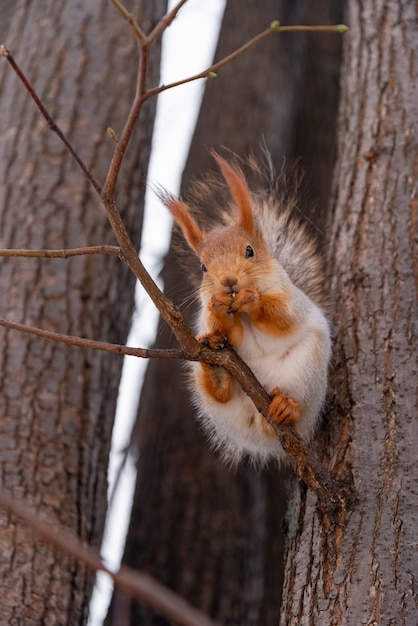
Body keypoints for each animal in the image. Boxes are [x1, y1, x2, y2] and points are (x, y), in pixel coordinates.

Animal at [158, 151, 332, 464]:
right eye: (203, 267)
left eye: (249, 251)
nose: (228, 282)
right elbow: (231, 333)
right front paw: (218, 309)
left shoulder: (292, 299)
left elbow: (284, 319)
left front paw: (253, 300)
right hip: (218, 404)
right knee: (219, 395)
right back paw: (216, 372)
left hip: (306, 372)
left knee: (295, 412)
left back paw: (286, 408)